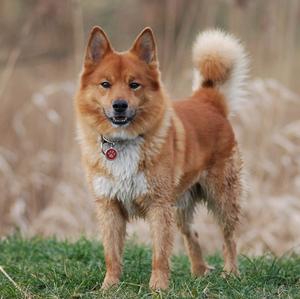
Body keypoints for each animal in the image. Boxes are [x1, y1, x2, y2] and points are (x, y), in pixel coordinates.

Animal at [74, 26, 247, 290]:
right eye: (105, 84)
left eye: (134, 85)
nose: (119, 105)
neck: (122, 143)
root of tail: (208, 101)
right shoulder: (109, 205)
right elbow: (111, 254)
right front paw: (109, 286)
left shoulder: (158, 206)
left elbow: (160, 253)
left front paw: (158, 287)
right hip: (180, 204)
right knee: (192, 234)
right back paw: (199, 272)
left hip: (222, 197)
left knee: (229, 237)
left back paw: (231, 273)